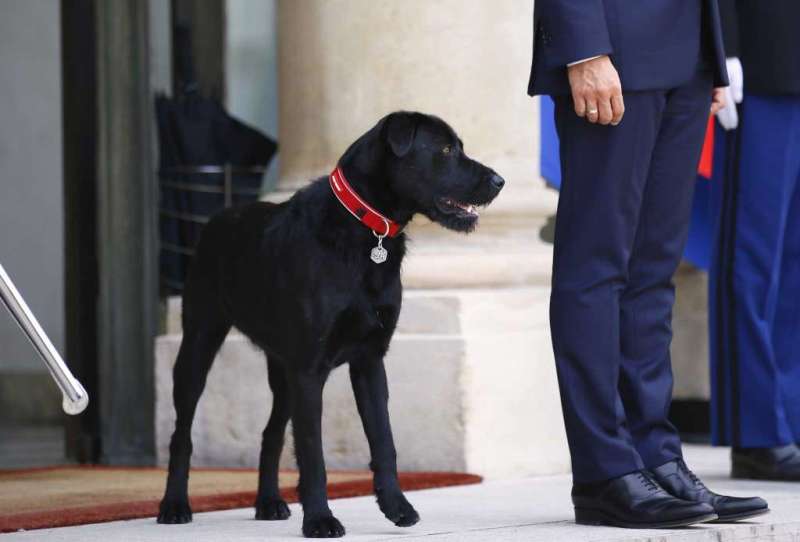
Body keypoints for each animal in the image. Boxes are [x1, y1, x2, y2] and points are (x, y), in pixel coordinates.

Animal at [157, 111, 504, 540]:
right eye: (444, 149)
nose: (500, 181)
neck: (366, 228)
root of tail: (219, 217)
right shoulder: (309, 370)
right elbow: (313, 452)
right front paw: (320, 518)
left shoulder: (369, 361)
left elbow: (384, 442)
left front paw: (397, 506)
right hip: (199, 344)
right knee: (182, 434)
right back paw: (174, 505)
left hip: (282, 371)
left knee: (271, 433)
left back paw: (268, 502)